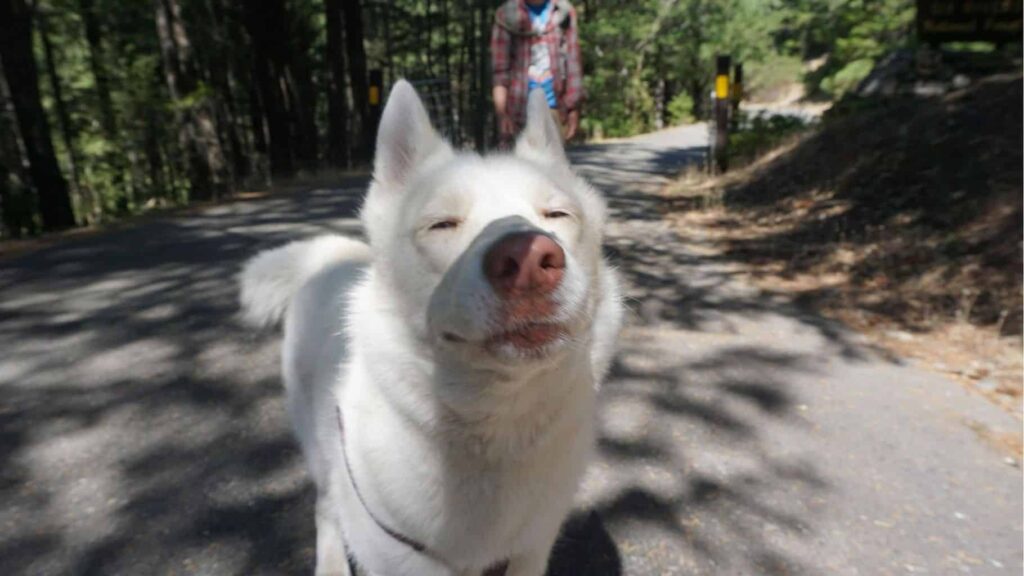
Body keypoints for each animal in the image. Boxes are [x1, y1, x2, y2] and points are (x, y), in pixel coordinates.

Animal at [239, 81, 622, 573]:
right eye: (442, 224)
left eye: (557, 215)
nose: (530, 261)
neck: (495, 426)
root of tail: (332, 256)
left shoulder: (534, 544)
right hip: (320, 452)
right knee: (325, 509)